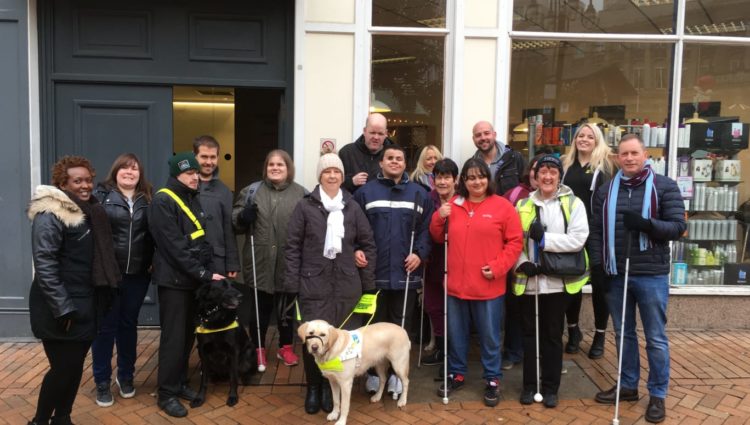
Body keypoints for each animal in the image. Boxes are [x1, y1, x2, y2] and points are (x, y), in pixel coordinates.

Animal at [191, 278, 256, 408]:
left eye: (233, 285)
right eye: (223, 286)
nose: (241, 296)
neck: (216, 317)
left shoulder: (233, 351)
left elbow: (233, 378)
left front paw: (233, 396)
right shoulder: (202, 351)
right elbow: (203, 380)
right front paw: (200, 398)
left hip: (249, 350)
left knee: (243, 371)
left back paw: (246, 379)